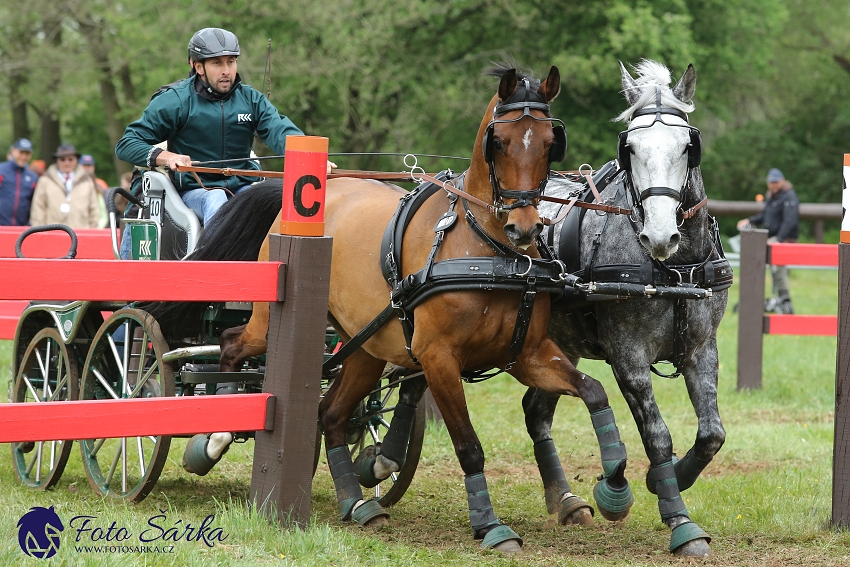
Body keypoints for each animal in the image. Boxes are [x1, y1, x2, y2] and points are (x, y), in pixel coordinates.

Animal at [162, 64, 632, 552]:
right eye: (499, 142)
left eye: (548, 142)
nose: (523, 227)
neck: (487, 252)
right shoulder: (438, 359)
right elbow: (469, 445)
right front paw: (490, 525)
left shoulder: (527, 354)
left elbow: (594, 391)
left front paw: (615, 484)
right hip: (269, 318)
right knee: (232, 345)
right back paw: (214, 435)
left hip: (364, 345)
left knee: (331, 413)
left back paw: (358, 503)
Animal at [532, 60, 732, 556]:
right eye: (630, 148)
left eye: (688, 147)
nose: (660, 236)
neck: (675, 269)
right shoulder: (629, 357)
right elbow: (657, 436)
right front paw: (676, 517)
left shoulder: (703, 349)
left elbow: (712, 434)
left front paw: (670, 479)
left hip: (557, 344)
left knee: (536, 411)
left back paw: (566, 501)